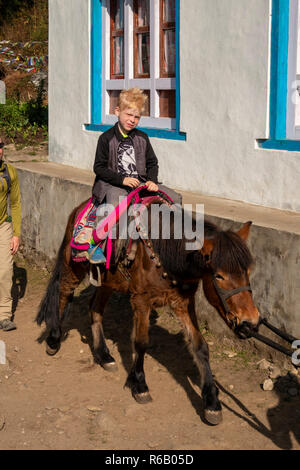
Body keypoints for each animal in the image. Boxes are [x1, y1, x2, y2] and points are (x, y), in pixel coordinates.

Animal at [35, 195, 260, 426]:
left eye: (246, 271)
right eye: (219, 276)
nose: (250, 321)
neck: (165, 253)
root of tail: (80, 207)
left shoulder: (182, 303)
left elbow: (200, 346)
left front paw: (212, 402)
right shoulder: (141, 300)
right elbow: (141, 342)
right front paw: (139, 385)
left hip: (109, 281)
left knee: (95, 308)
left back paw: (104, 355)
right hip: (74, 267)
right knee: (63, 294)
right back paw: (53, 339)